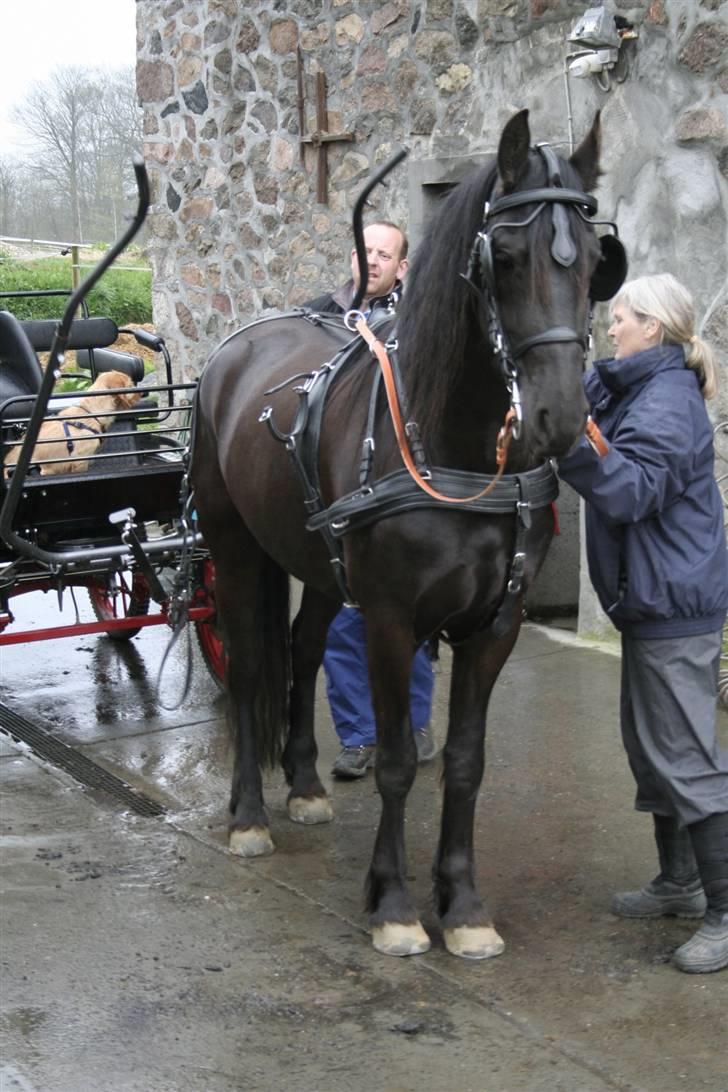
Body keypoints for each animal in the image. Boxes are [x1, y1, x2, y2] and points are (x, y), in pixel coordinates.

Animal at [192, 110, 628, 960]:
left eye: (598, 262)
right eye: (507, 257)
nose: (558, 417)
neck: (453, 447)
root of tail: (236, 348)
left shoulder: (496, 624)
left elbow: (464, 762)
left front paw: (462, 905)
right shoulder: (392, 619)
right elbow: (397, 760)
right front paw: (394, 903)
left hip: (321, 565)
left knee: (302, 650)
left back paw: (302, 784)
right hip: (233, 547)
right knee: (253, 665)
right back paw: (250, 815)